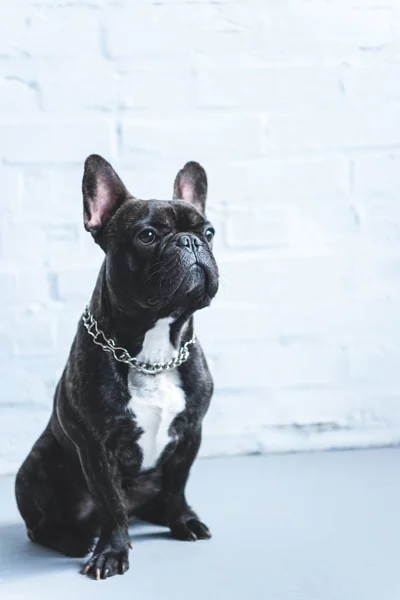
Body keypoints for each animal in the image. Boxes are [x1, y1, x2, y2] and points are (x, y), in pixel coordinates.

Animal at [14, 154, 219, 576]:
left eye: (209, 232)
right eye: (147, 236)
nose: (190, 241)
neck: (153, 354)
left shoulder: (190, 432)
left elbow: (178, 485)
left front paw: (183, 521)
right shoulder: (97, 447)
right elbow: (111, 504)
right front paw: (112, 551)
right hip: (35, 466)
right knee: (41, 527)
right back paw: (76, 541)